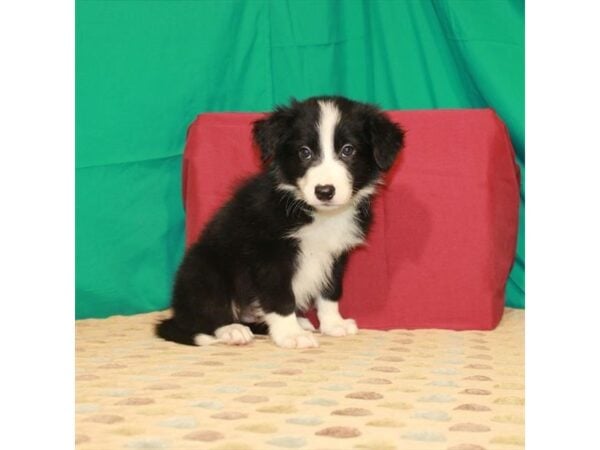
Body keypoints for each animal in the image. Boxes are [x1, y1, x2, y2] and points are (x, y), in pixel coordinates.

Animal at [157, 95, 406, 348]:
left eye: (348, 150)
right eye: (304, 152)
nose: (324, 191)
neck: (314, 213)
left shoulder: (335, 255)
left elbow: (330, 291)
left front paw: (333, 324)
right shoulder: (270, 254)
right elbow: (280, 297)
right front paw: (290, 334)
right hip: (205, 268)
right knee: (206, 313)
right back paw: (231, 330)